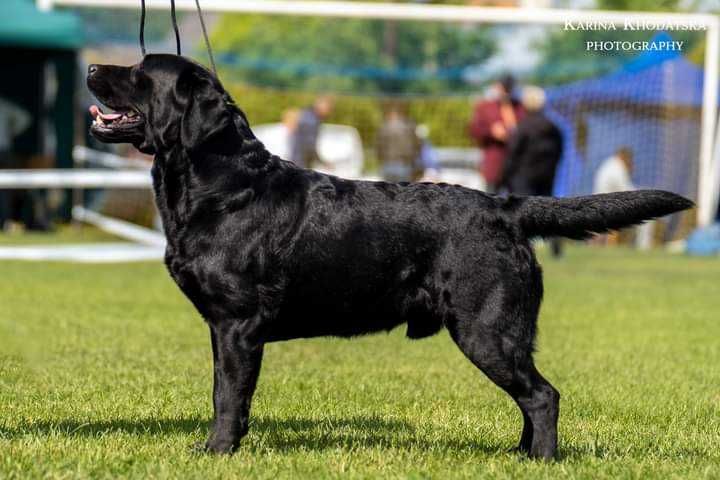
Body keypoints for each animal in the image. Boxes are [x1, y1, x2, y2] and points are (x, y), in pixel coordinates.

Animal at [87, 54, 696, 460]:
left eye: (141, 73)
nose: (92, 66)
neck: (221, 182)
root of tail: (504, 207)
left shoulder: (238, 323)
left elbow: (229, 396)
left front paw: (217, 451)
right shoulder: (223, 328)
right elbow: (224, 390)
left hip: (486, 329)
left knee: (543, 395)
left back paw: (543, 460)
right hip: (504, 332)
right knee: (531, 395)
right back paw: (520, 457)